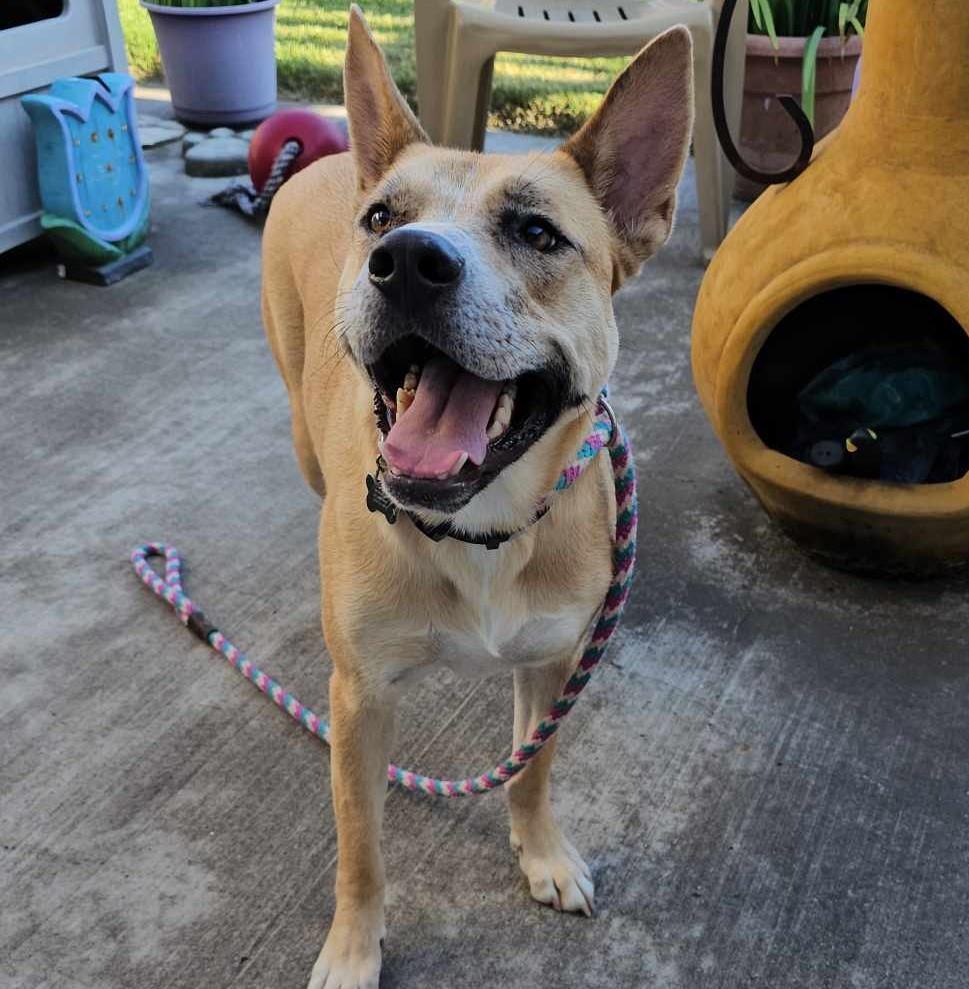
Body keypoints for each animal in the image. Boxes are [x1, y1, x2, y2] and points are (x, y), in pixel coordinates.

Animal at [260, 5, 692, 980]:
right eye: (383, 218)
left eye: (537, 233)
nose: (404, 259)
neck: (477, 526)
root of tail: (336, 159)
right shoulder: (360, 701)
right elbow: (361, 846)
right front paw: (354, 946)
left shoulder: (553, 662)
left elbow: (531, 770)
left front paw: (542, 854)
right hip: (300, 430)